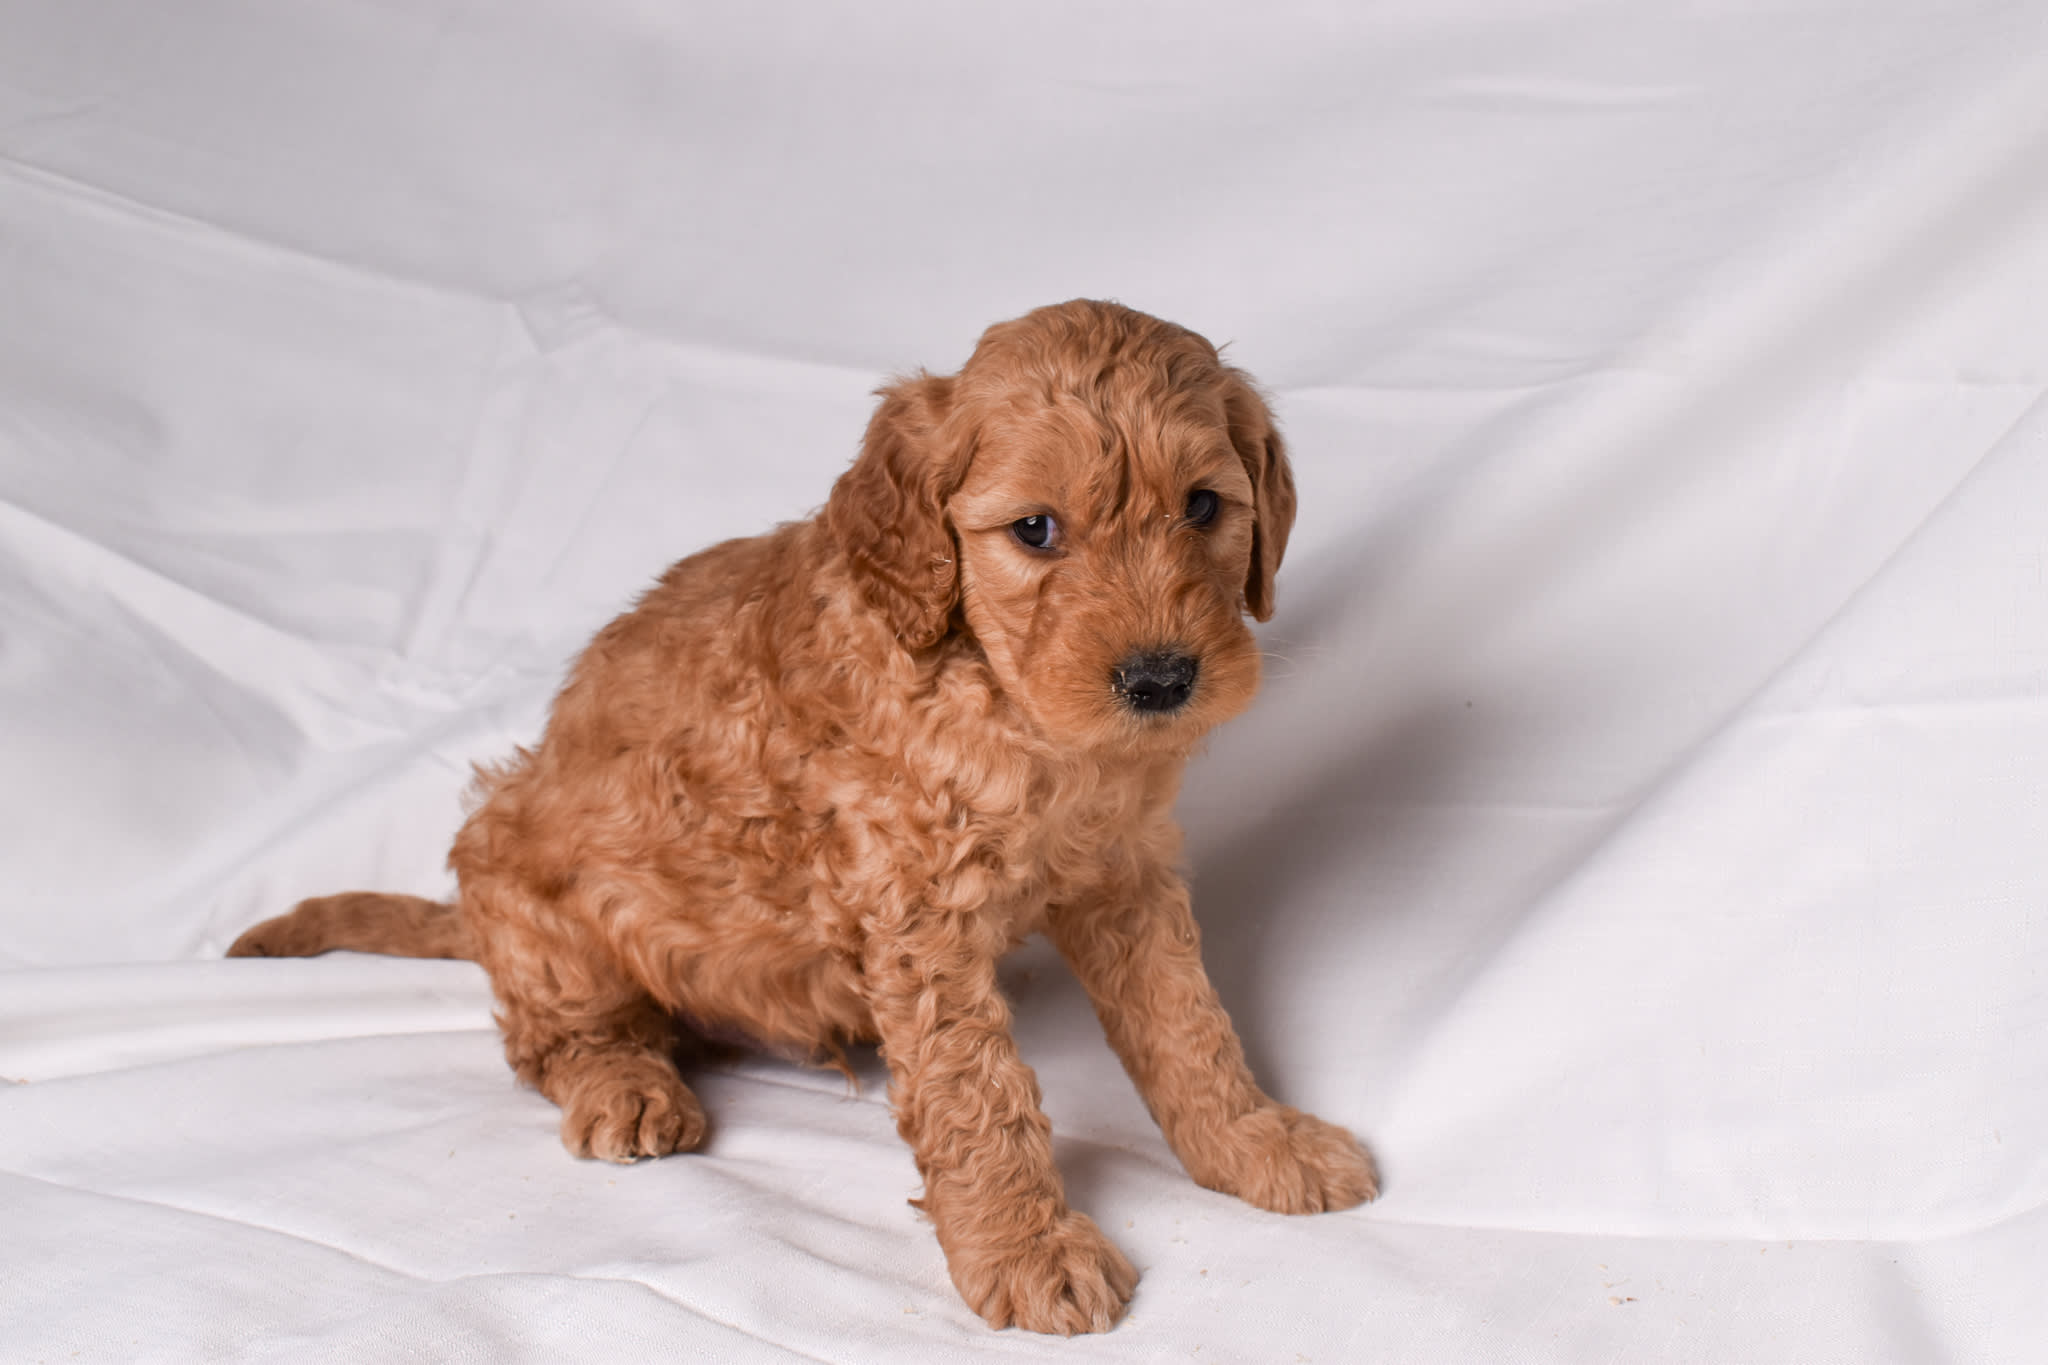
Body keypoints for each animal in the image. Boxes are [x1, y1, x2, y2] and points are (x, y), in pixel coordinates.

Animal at [232, 298, 1376, 1334]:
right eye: (1036, 530)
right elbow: (978, 1093)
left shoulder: (1123, 873)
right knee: (554, 1036)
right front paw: (1026, 1249)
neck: (998, 696)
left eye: (1203, 508)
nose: (1159, 679)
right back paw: (626, 1086)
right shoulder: (920, 916)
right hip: (529, 879)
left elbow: (1188, 1026)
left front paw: (1253, 1144)